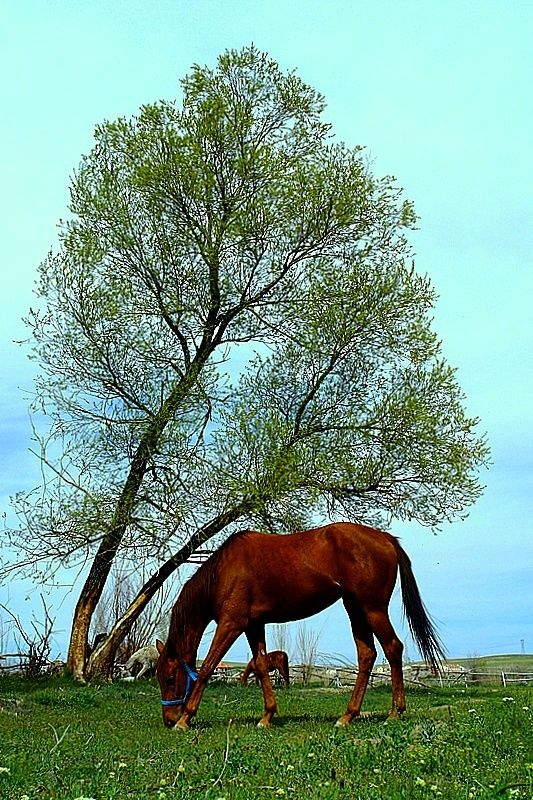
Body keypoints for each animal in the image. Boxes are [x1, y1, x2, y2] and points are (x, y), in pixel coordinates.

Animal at [156, 520, 442, 728]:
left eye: (169, 678)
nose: (168, 720)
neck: (222, 572)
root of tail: (386, 538)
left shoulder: (231, 624)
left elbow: (207, 667)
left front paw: (186, 718)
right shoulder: (253, 625)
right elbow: (261, 667)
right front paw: (267, 716)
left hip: (373, 609)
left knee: (393, 648)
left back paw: (394, 712)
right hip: (355, 608)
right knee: (367, 655)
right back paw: (348, 715)